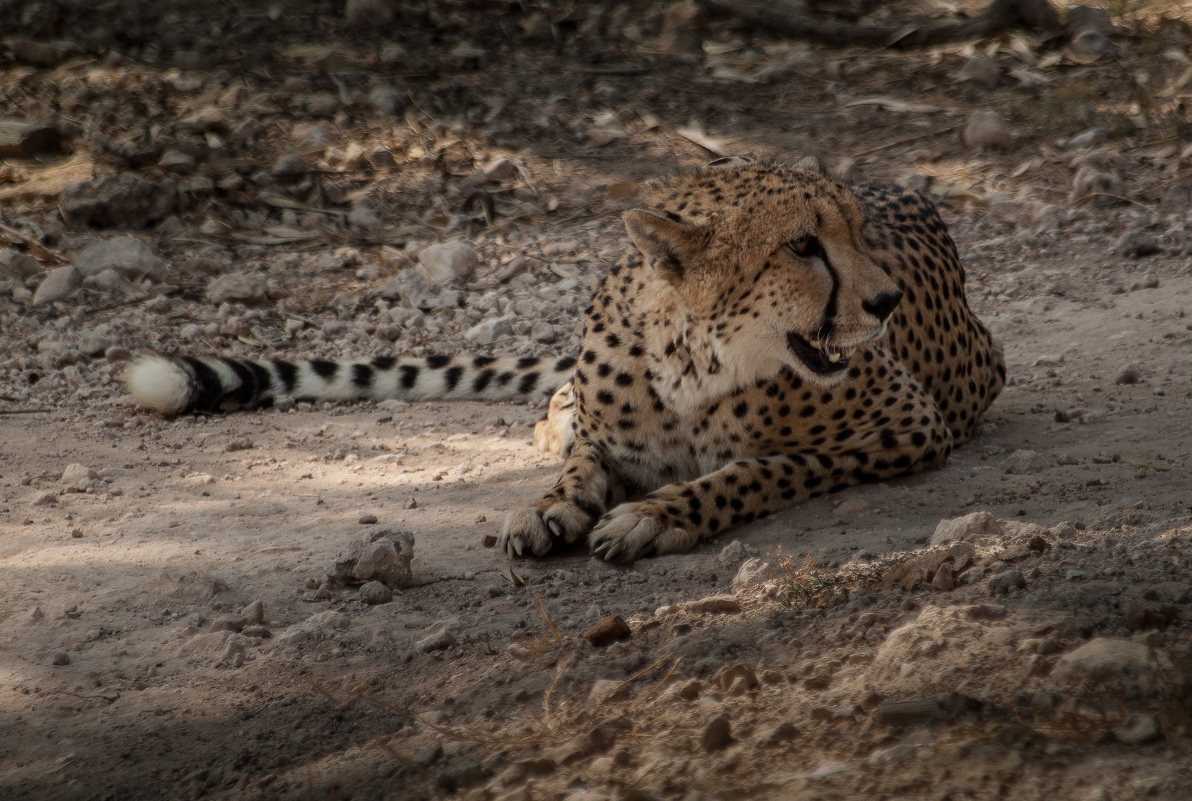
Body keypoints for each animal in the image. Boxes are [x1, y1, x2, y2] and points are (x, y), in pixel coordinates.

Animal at [128, 159, 1006, 562]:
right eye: (802, 246)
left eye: (856, 232)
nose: (886, 300)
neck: (696, 361)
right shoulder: (609, 429)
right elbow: (584, 458)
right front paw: (551, 504)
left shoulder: (908, 424)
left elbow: (759, 467)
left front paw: (660, 512)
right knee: (557, 412)